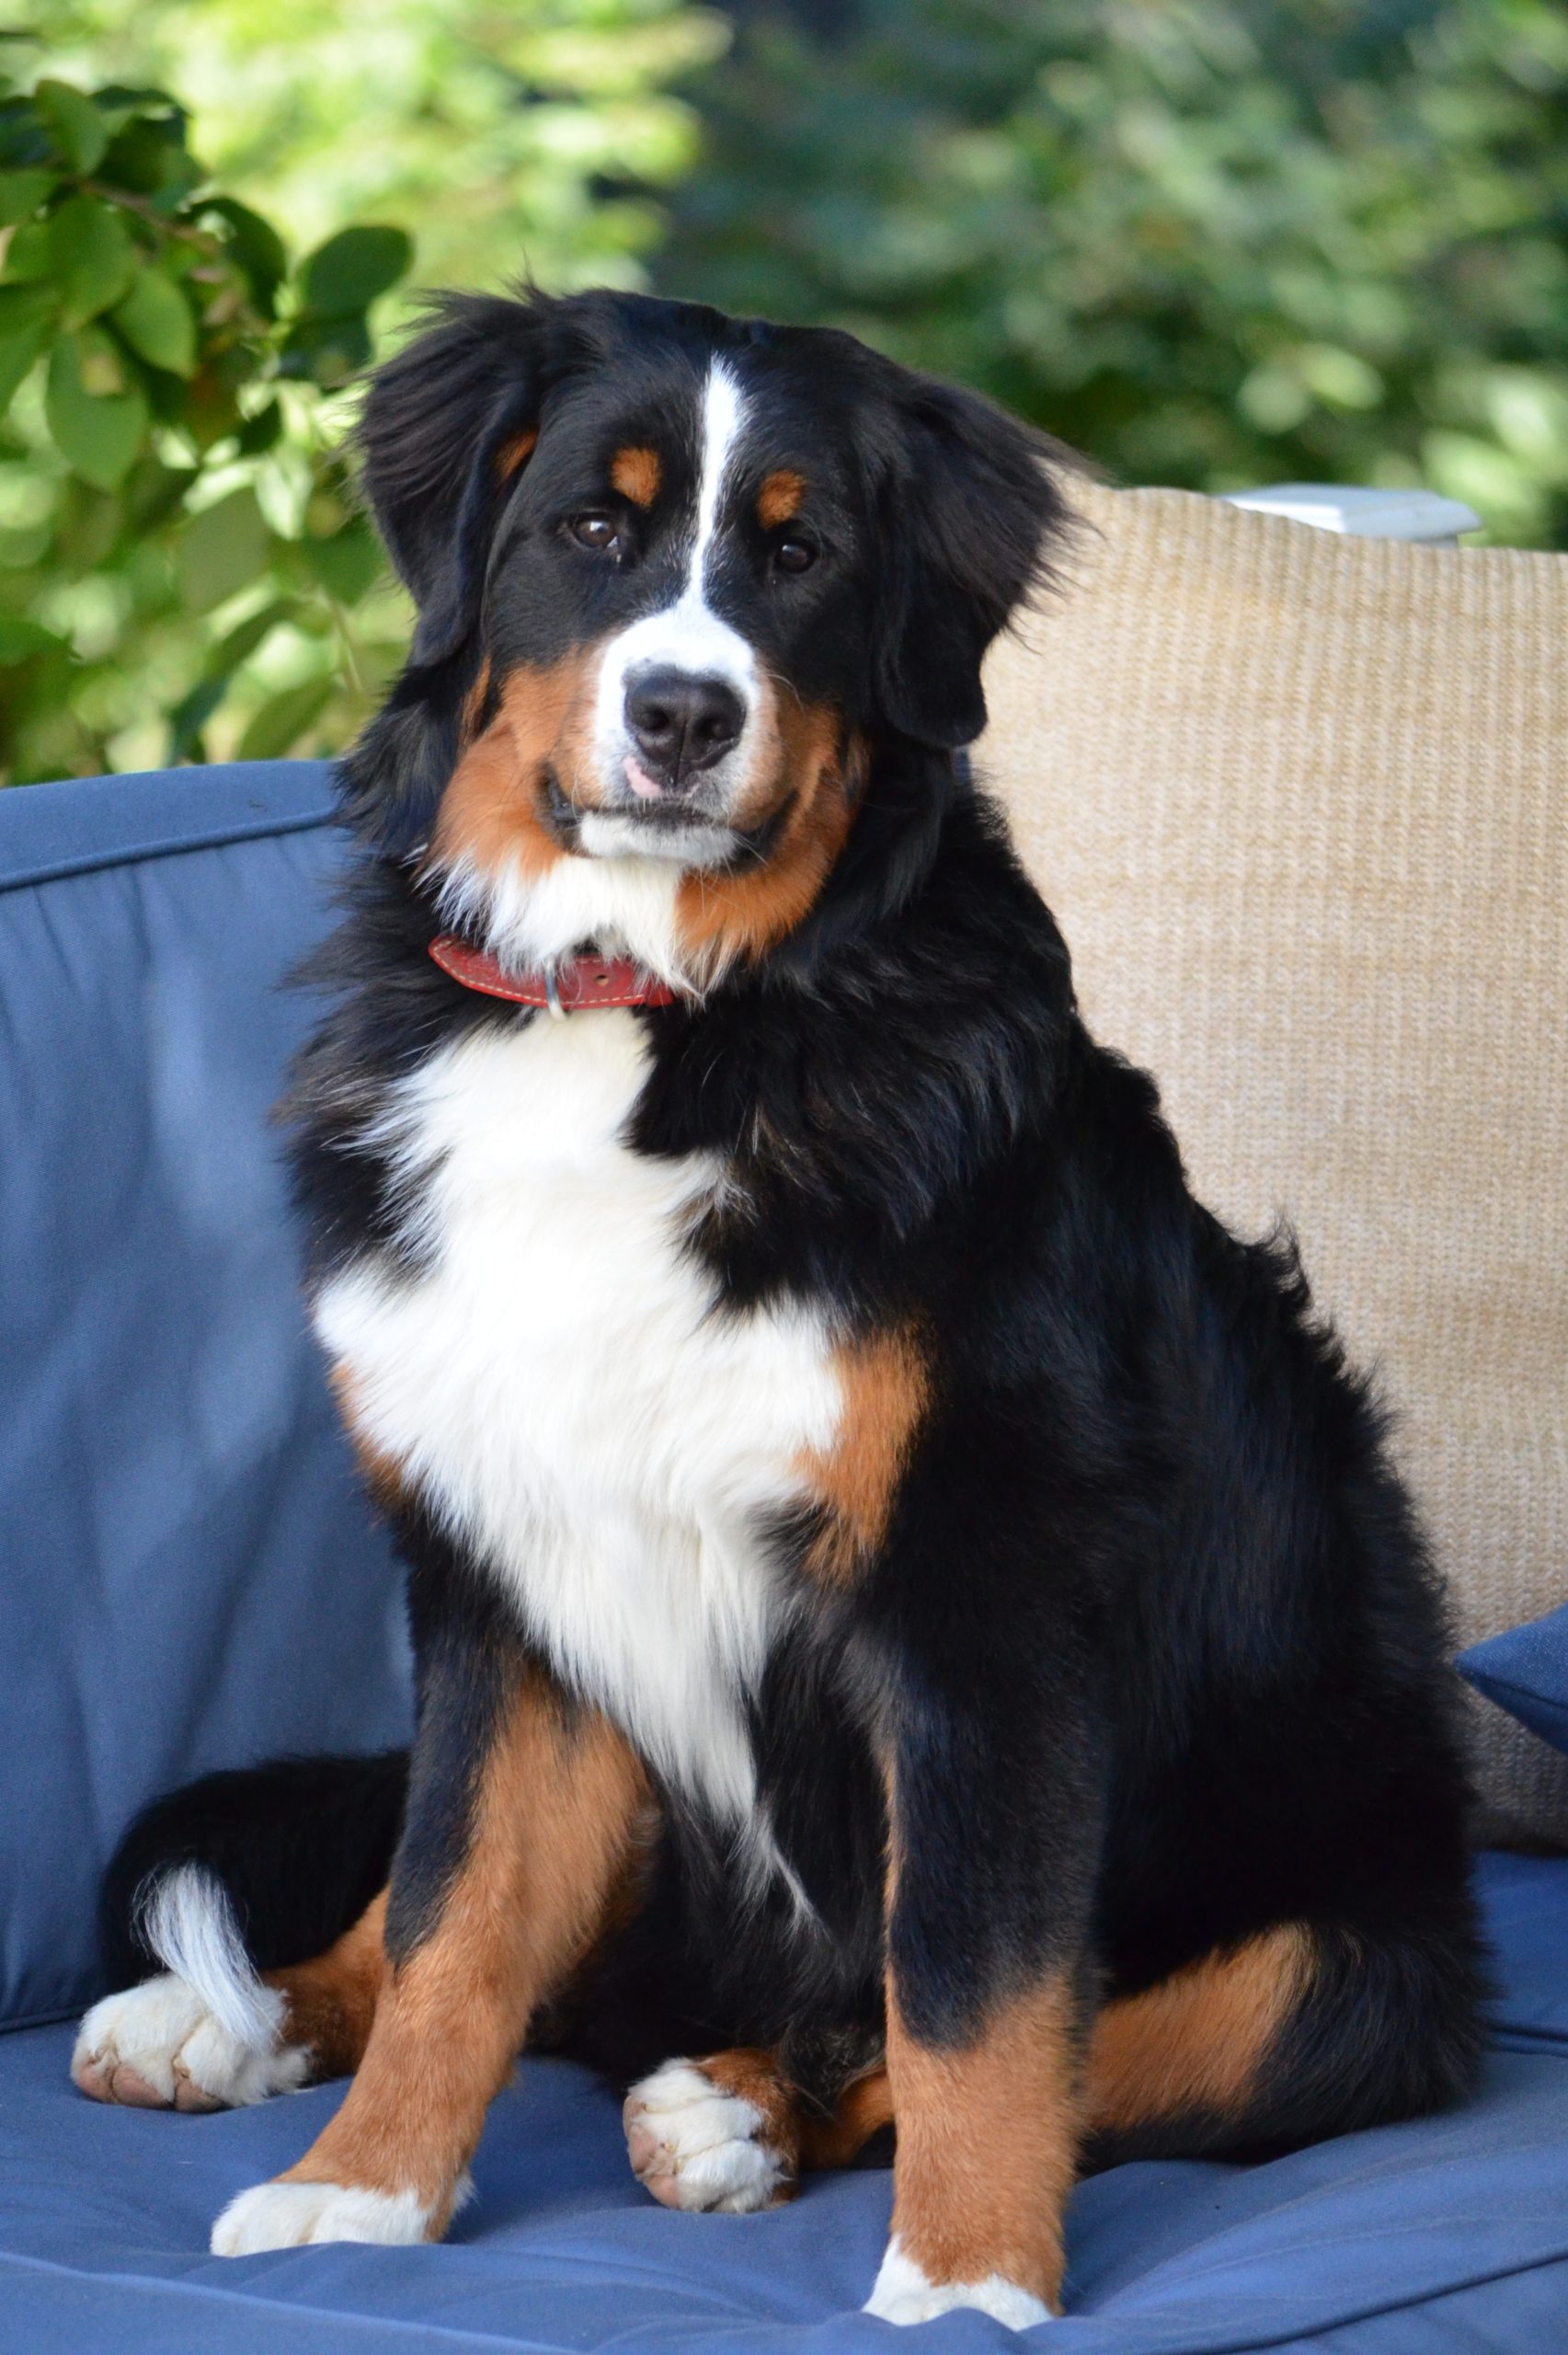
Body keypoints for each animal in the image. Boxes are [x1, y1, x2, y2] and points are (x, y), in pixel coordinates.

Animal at [70, 284, 1478, 2326]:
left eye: (802, 560)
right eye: (594, 526)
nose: (683, 712)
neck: (645, 1010)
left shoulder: (979, 1594)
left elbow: (976, 1988)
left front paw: (965, 2288)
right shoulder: (502, 1572)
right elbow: (451, 1917)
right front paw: (362, 2194)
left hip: (1347, 1962)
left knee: (995, 2025)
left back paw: (732, 2104)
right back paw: (219, 2018)